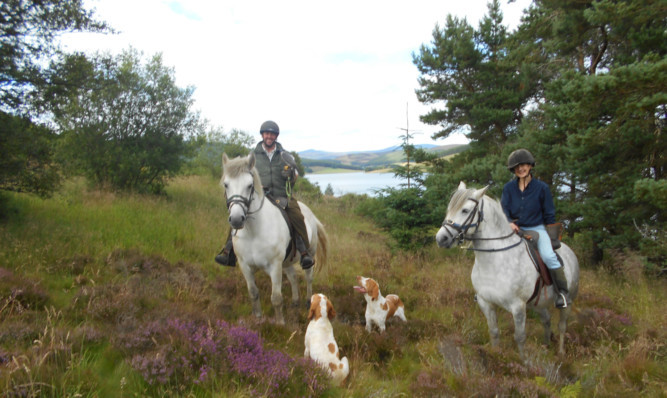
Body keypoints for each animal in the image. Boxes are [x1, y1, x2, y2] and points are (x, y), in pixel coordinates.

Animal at [222, 152, 328, 324]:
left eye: (250, 185)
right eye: (226, 184)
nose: (237, 220)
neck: (254, 232)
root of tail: (310, 213)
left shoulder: (275, 266)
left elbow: (276, 298)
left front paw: (279, 324)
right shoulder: (245, 265)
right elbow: (253, 293)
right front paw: (258, 318)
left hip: (309, 254)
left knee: (308, 277)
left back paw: (307, 302)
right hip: (287, 261)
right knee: (292, 277)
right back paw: (295, 302)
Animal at [438, 182, 580, 356]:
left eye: (465, 210)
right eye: (449, 208)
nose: (441, 238)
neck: (495, 261)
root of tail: (569, 251)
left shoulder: (517, 307)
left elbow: (520, 337)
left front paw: (525, 361)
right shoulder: (486, 303)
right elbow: (494, 332)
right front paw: (495, 355)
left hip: (568, 301)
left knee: (561, 326)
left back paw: (560, 352)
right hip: (538, 303)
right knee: (546, 320)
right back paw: (546, 346)